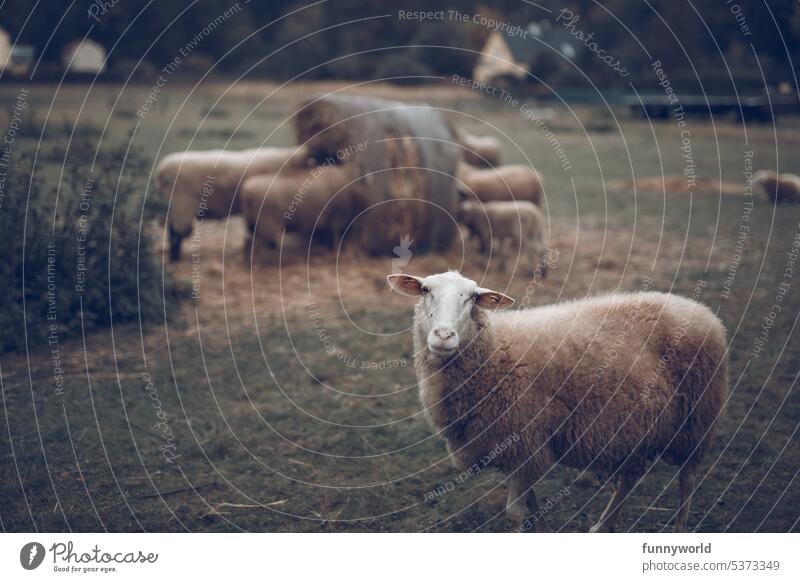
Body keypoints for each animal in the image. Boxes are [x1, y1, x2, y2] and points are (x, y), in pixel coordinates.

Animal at [384, 272, 728, 532]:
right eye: (425, 290)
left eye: (472, 297)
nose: (443, 336)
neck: (495, 350)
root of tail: (699, 309)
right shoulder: (521, 448)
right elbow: (532, 507)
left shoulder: (523, 442)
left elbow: (514, 514)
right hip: (637, 427)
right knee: (631, 476)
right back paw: (602, 527)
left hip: (697, 419)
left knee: (686, 479)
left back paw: (679, 528)